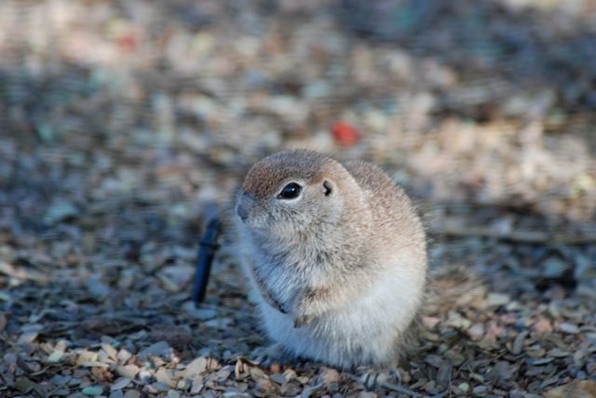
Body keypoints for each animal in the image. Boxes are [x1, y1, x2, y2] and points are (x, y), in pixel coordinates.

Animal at [233, 150, 428, 370]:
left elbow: (331, 291)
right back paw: (268, 353)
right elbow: (253, 273)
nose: (241, 212)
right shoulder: (250, 253)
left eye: (291, 190)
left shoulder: (355, 269)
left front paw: (302, 312)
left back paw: (376, 372)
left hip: (386, 341)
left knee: (392, 358)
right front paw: (270, 299)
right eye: (251, 172)